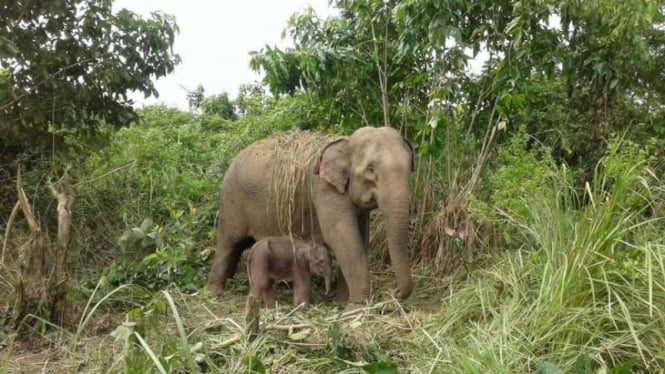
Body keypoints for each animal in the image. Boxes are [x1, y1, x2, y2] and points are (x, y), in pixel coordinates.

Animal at [208, 127, 416, 306]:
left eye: (410, 168)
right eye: (370, 170)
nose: (395, 292)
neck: (345, 142)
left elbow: (361, 238)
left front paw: (343, 304)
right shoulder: (324, 189)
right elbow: (342, 238)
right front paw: (356, 308)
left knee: (240, 245)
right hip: (230, 200)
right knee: (228, 242)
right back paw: (215, 292)